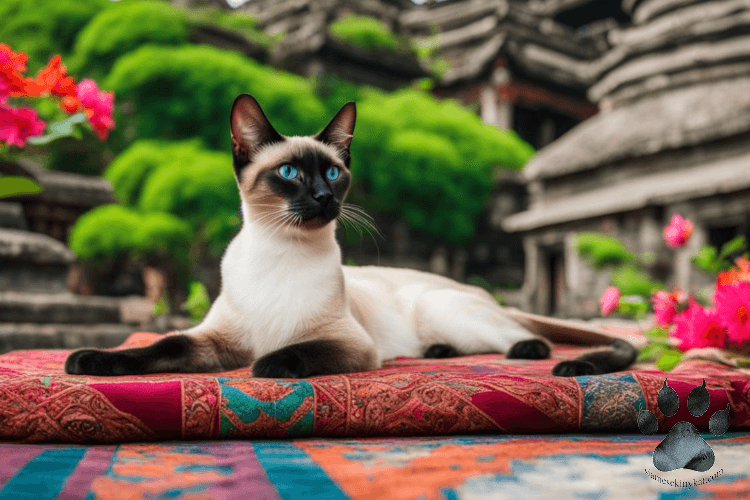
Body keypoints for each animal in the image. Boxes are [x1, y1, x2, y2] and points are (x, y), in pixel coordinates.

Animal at [66, 94, 640, 378]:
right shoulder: (216, 340)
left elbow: (290, 352)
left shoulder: (348, 343)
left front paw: (265, 364)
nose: (325, 197)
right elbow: (160, 345)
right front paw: (88, 362)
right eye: (290, 174)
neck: (281, 253)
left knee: (535, 340)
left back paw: (543, 356)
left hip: (444, 307)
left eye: (333, 173)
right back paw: (433, 353)